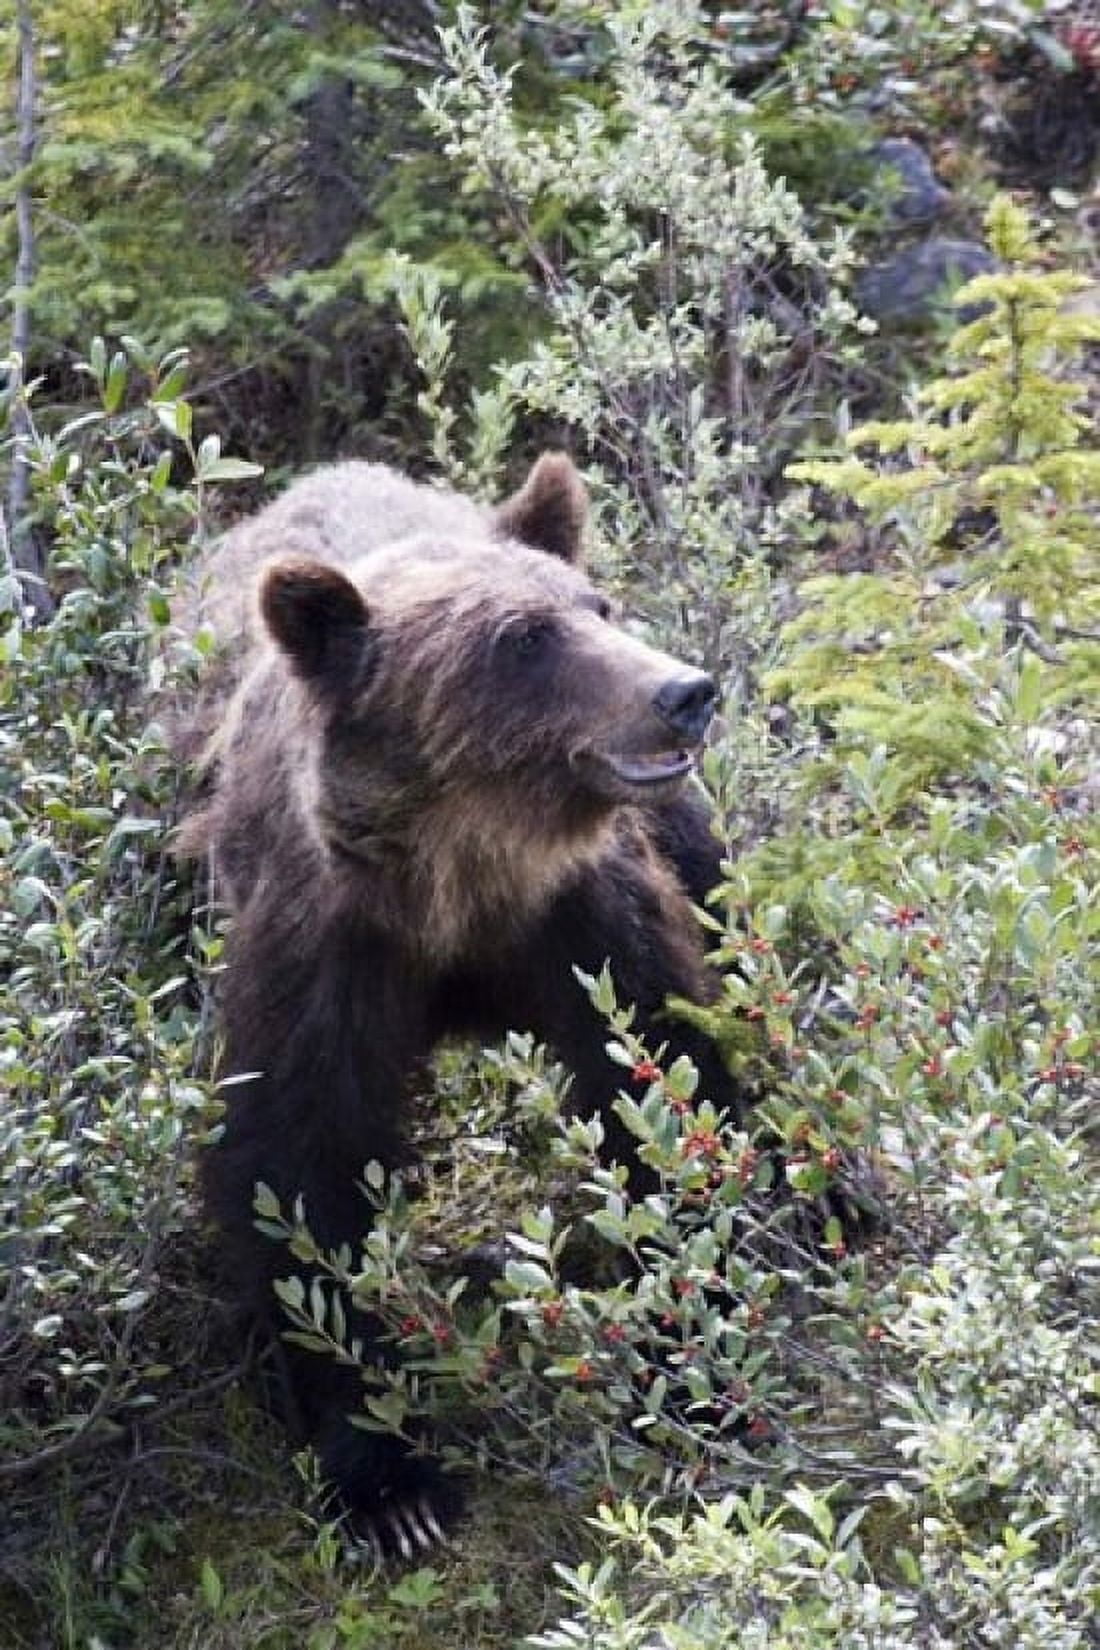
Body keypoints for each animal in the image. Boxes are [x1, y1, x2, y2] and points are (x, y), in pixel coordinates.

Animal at [175, 452, 739, 1556]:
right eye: (523, 638)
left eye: (596, 605)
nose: (682, 691)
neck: (457, 879)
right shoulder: (320, 948)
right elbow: (298, 1177)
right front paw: (390, 1485)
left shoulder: (577, 915)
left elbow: (656, 1070)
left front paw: (695, 1346)